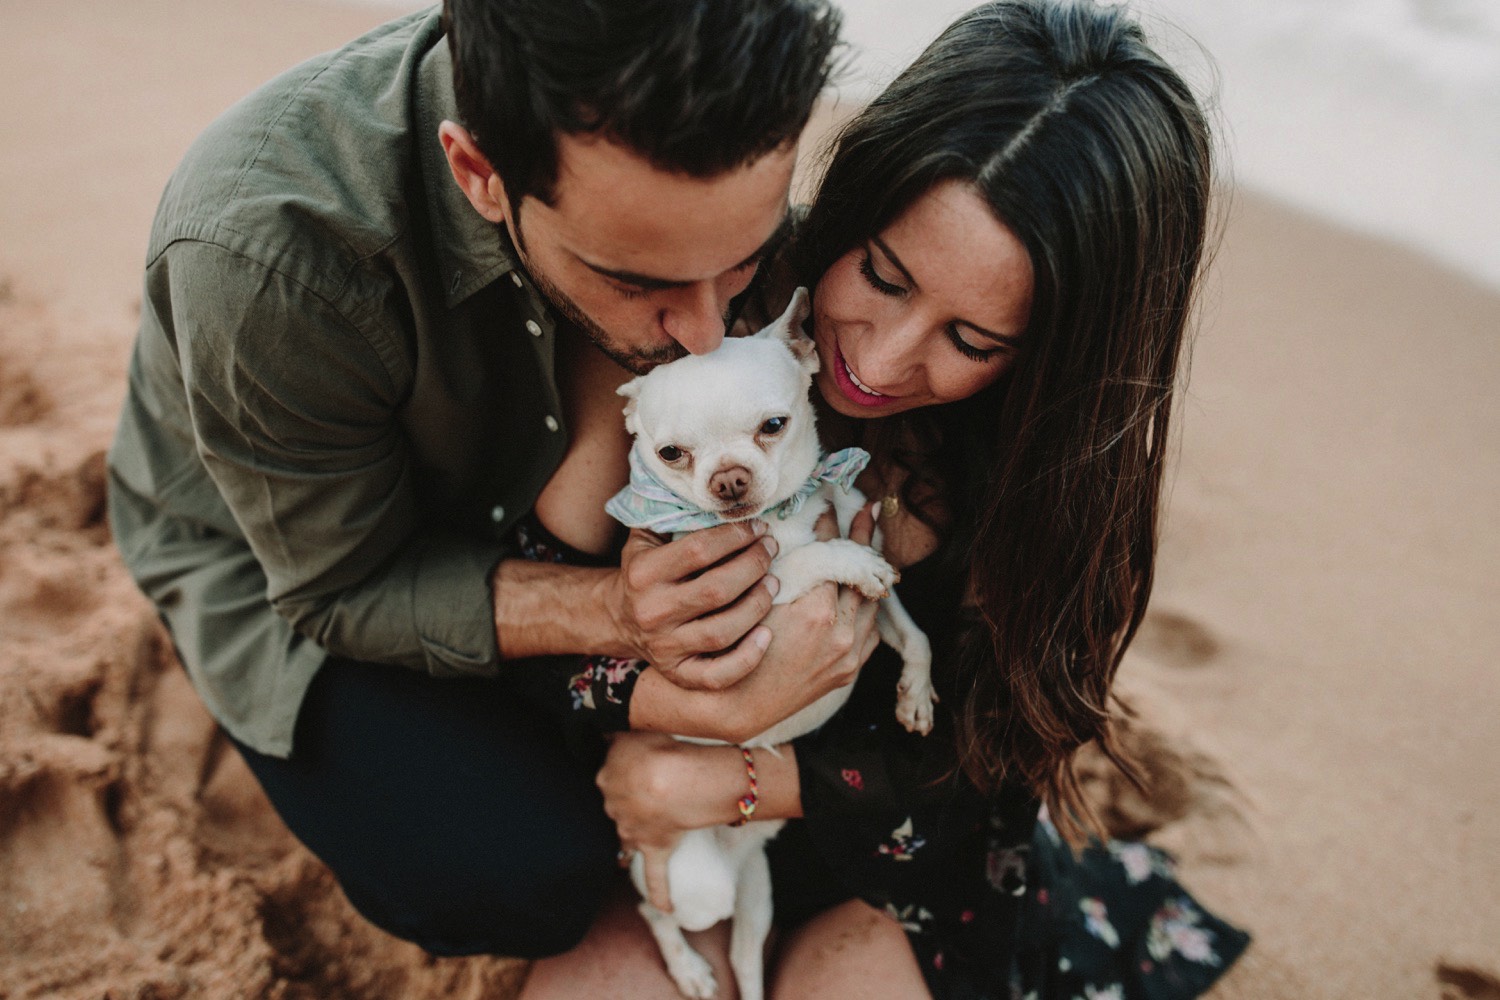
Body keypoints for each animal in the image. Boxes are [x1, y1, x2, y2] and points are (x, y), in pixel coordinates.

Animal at [603, 287, 930, 1000]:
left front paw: (916, 697)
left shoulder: (881, 593)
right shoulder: (742, 600)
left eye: (773, 425)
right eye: (671, 454)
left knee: (748, 955)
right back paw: (688, 968)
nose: (727, 479)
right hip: (696, 887)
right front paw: (838, 559)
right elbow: (807, 562)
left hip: (758, 895)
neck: (783, 514)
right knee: (655, 911)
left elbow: (913, 632)